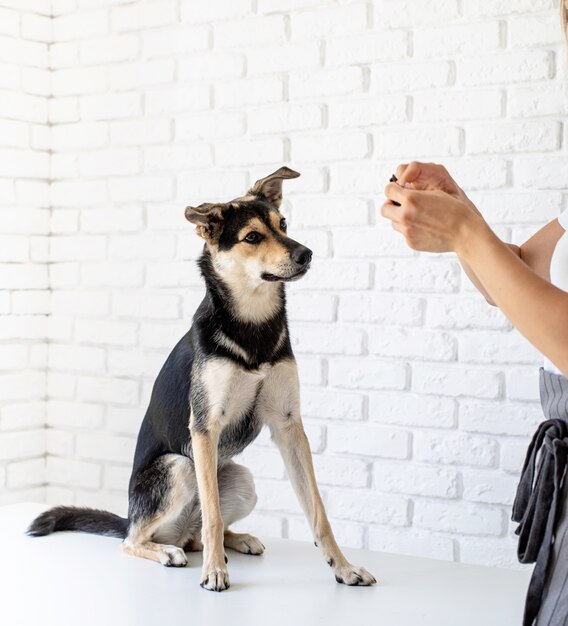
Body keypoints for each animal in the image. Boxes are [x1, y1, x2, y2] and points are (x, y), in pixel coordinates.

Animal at [30, 165, 378, 588]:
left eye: (283, 225)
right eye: (252, 237)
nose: (306, 253)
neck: (253, 327)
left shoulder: (289, 425)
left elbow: (318, 511)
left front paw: (343, 567)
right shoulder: (205, 427)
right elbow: (212, 513)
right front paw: (214, 572)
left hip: (242, 479)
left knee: (200, 531)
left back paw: (236, 539)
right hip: (178, 468)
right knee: (136, 539)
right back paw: (169, 551)